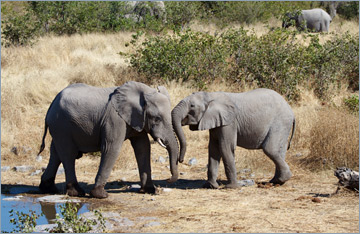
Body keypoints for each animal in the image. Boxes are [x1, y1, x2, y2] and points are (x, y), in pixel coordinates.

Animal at [38, 81, 179, 198]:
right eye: (156, 119)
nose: (168, 179)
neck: (144, 93)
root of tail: (52, 104)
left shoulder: (136, 119)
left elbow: (143, 147)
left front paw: (149, 190)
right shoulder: (114, 119)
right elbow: (112, 148)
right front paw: (100, 195)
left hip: (59, 127)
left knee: (56, 153)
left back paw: (48, 189)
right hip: (61, 125)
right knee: (68, 154)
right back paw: (76, 192)